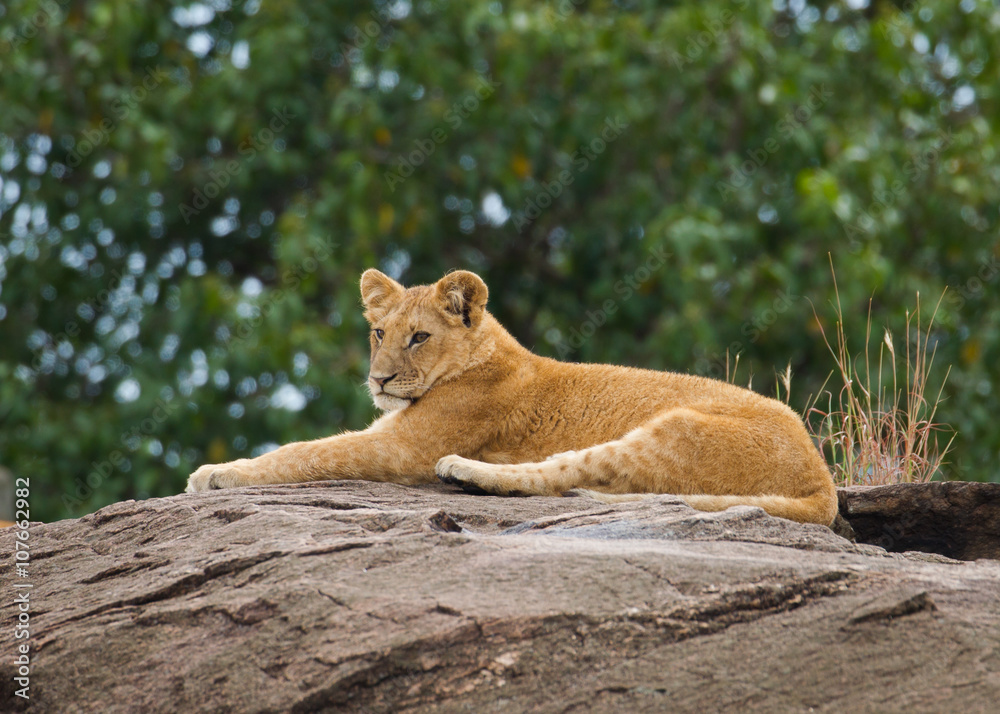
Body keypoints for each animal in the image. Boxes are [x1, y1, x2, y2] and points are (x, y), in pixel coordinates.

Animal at [186, 268, 838, 526]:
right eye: (378, 333)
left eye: (418, 337)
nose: (380, 381)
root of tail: (822, 479)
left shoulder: (403, 450)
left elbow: (309, 452)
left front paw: (216, 473)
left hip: (672, 428)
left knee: (564, 475)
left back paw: (466, 471)